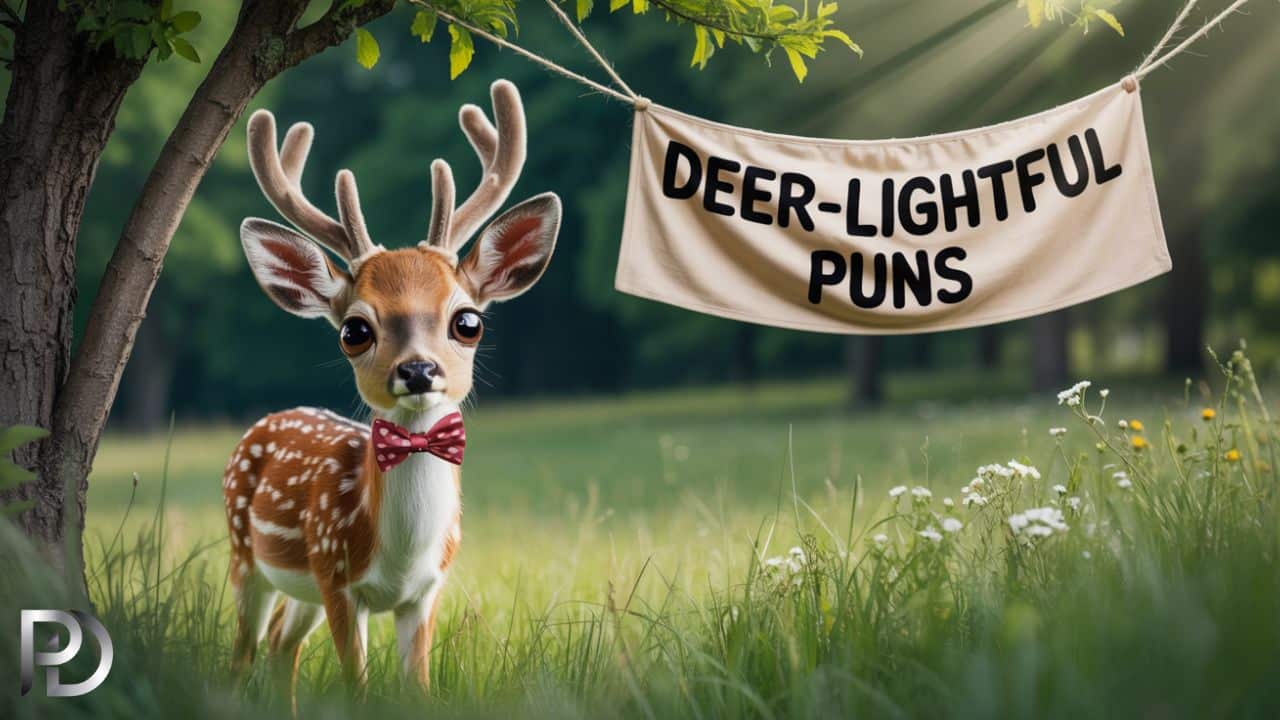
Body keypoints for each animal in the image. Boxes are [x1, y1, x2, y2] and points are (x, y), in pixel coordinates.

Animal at [220, 80, 558, 700]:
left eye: (468, 321)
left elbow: (417, 687)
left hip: (298, 588)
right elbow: (356, 688)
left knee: (281, 644)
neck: (399, 556)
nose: (419, 371)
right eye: (355, 330)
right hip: (245, 555)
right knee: (244, 651)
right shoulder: (336, 578)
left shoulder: (426, 592)